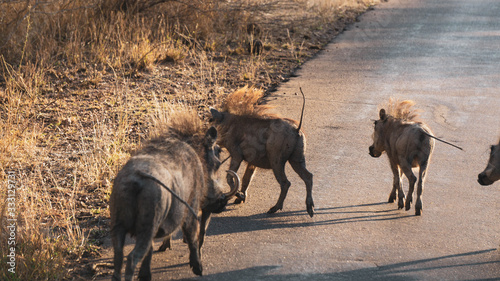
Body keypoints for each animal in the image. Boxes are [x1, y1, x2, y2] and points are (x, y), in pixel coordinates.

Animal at [110, 111, 239, 278]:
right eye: (217, 162)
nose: (221, 203)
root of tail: (136, 178)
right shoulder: (192, 207)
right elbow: (192, 236)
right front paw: (198, 269)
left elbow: (151, 251)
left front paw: (146, 274)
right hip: (147, 227)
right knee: (132, 257)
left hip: (118, 226)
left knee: (119, 258)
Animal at [210, 86, 312, 215]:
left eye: (210, 120)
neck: (229, 123)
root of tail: (296, 129)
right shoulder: (252, 162)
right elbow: (246, 179)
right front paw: (240, 198)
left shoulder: (236, 155)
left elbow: (230, 177)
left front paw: (239, 196)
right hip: (297, 159)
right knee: (308, 177)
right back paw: (310, 209)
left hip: (276, 161)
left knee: (285, 183)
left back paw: (274, 208)